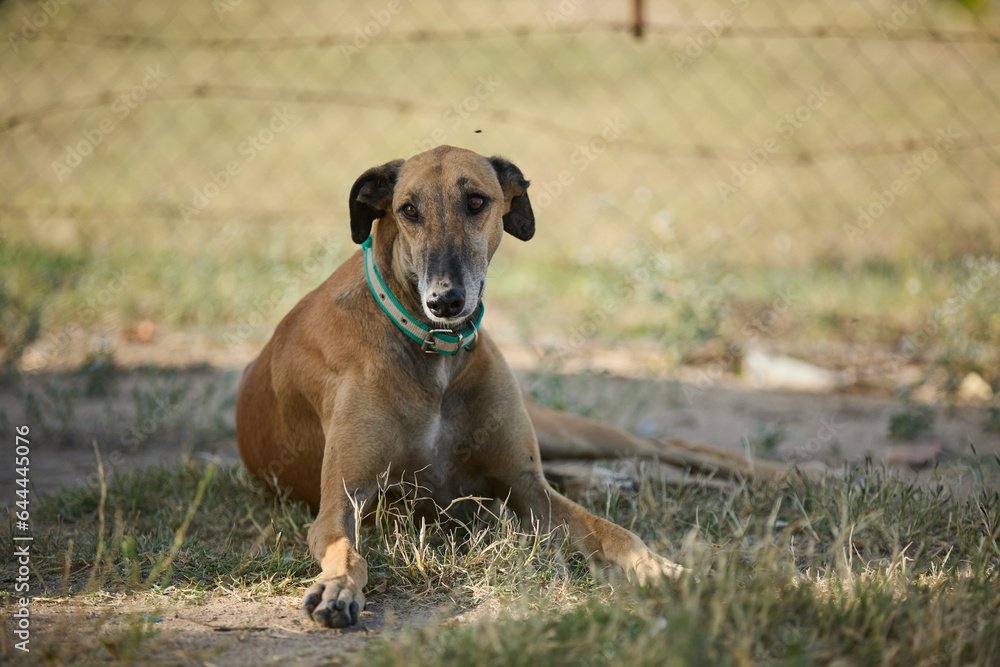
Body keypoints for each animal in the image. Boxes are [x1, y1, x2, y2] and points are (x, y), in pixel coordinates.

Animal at [234, 144, 796, 628]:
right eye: (408, 209)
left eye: (476, 202)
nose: (445, 300)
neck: (431, 349)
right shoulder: (342, 504)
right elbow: (345, 551)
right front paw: (337, 588)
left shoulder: (528, 489)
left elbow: (616, 532)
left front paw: (663, 569)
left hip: (567, 430)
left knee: (669, 447)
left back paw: (780, 474)